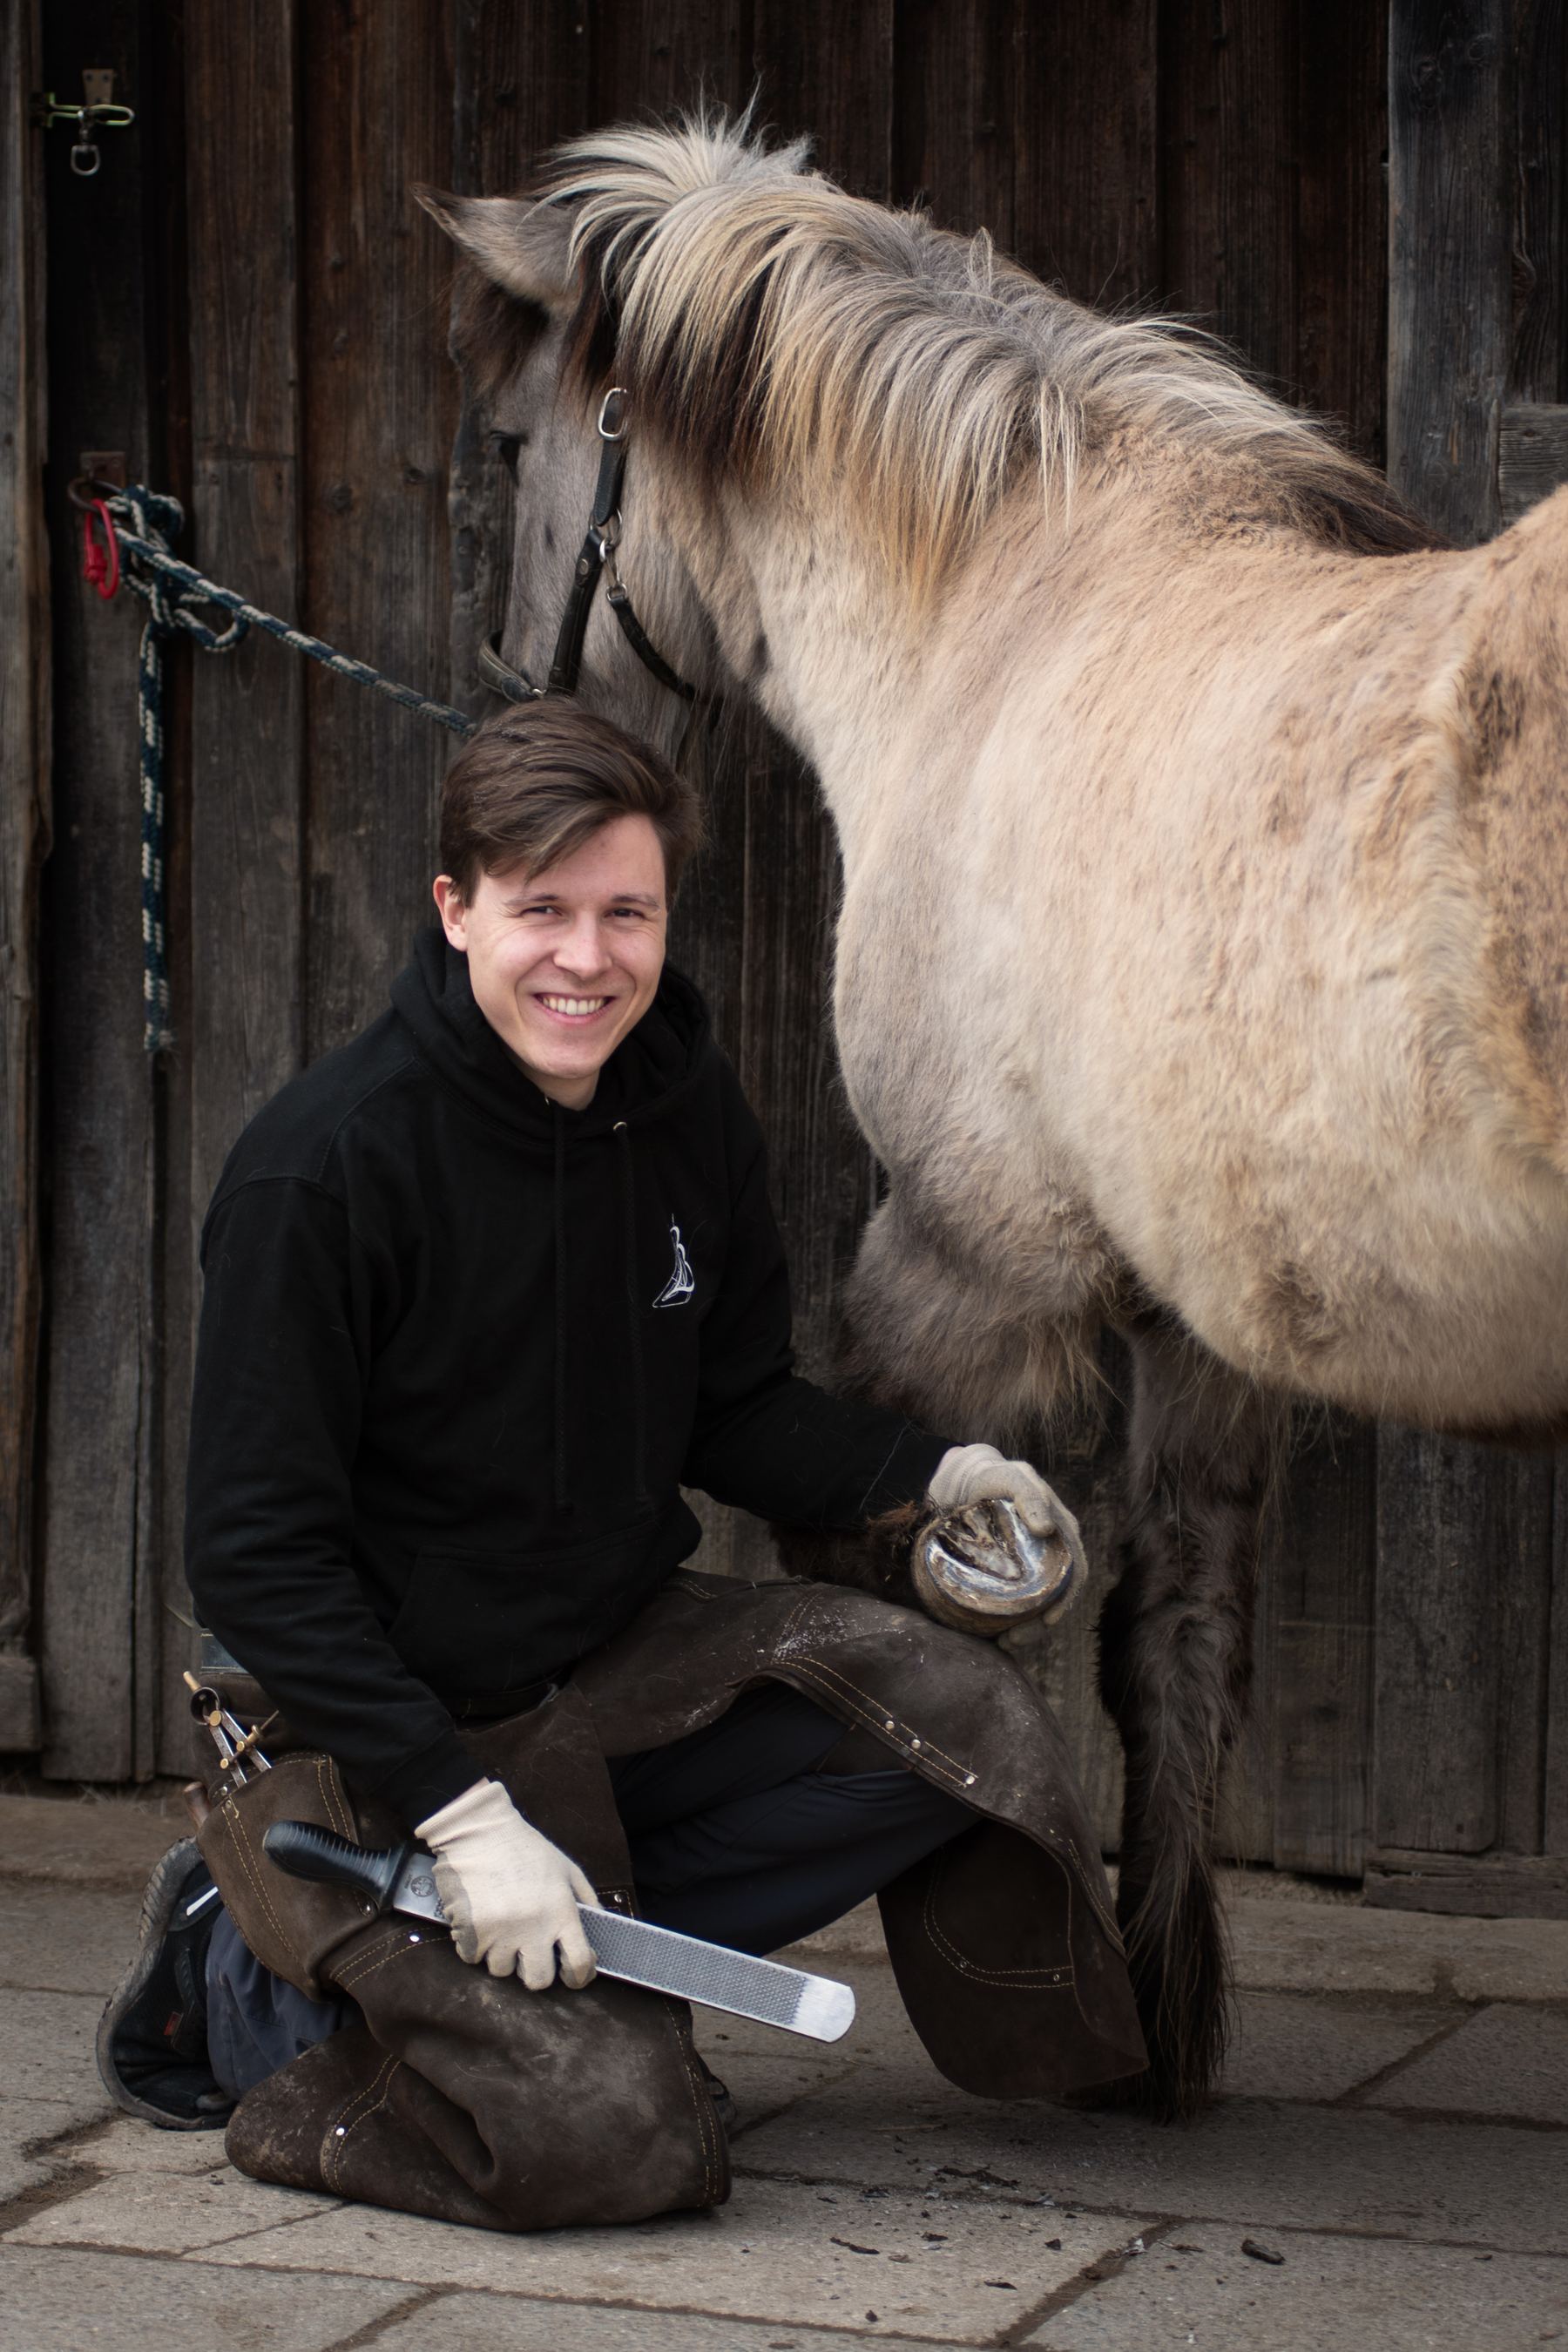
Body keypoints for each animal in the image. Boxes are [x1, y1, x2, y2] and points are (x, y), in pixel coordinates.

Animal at [416, 112, 1568, 2118]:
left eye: (506, 444)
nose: (514, 724)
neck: (1020, 613)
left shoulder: (962, 1259)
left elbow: (895, 1600)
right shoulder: (1197, 1316)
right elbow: (1169, 1635)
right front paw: (1159, 2025)